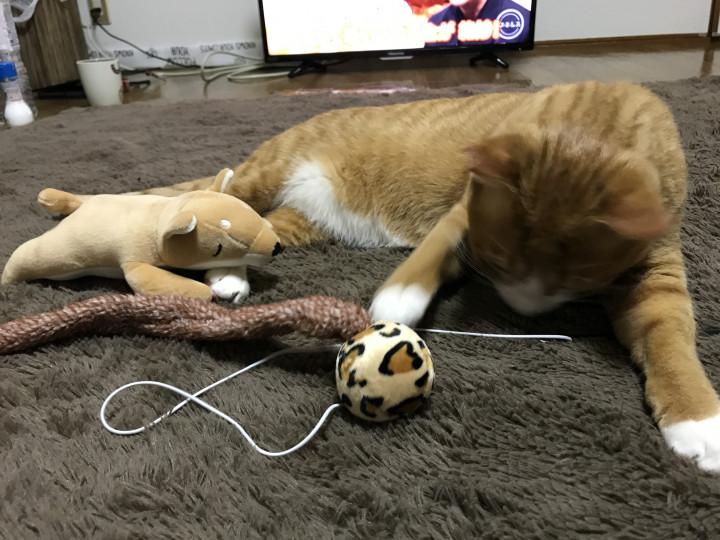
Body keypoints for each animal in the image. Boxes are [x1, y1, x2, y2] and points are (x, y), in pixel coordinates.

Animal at [138, 80, 720, 472]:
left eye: (573, 280)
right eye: (499, 261)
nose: (522, 311)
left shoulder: (658, 276)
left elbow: (670, 342)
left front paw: (699, 419)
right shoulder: (464, 212)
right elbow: (433, 252)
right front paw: (398, 301)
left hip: (294, 224)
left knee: (250, 229)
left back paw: (228, 276)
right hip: (263, 176)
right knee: (212, 201)